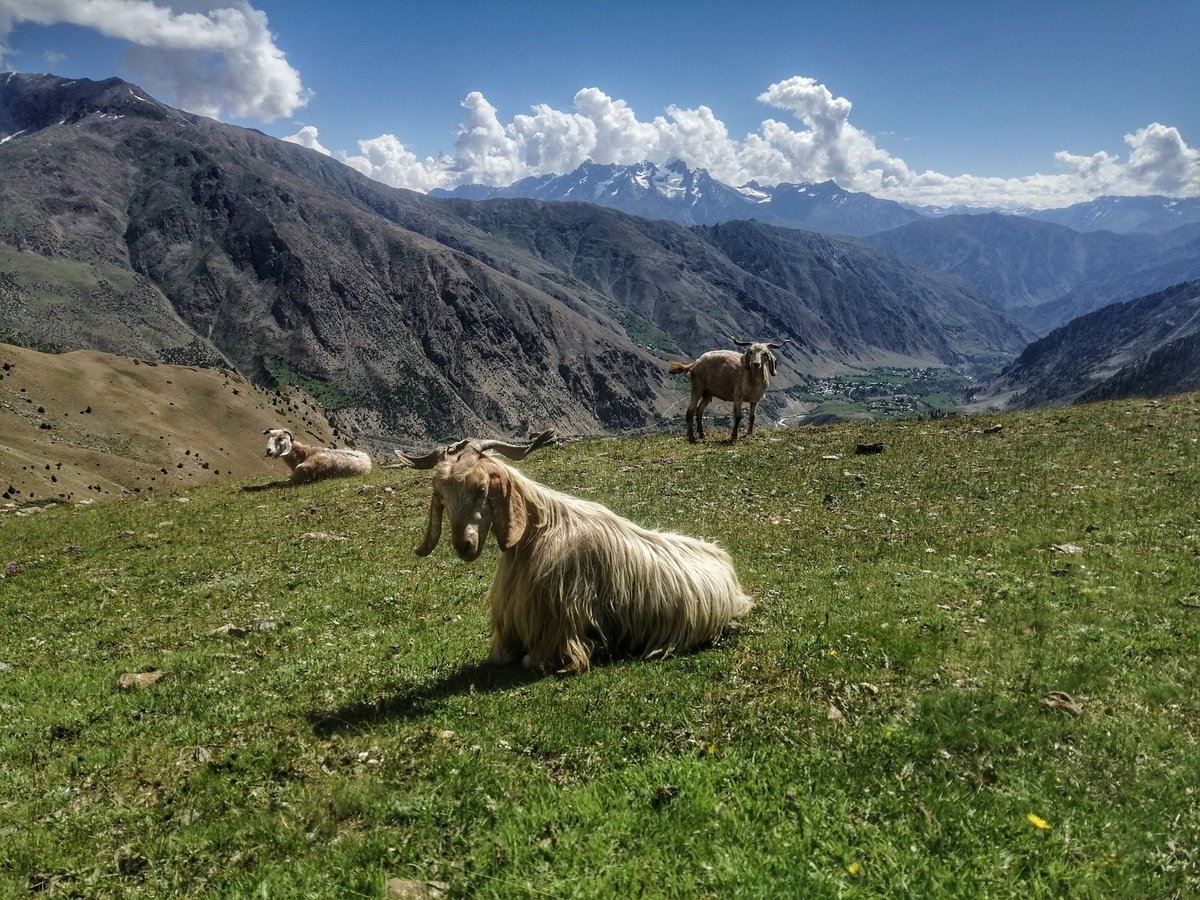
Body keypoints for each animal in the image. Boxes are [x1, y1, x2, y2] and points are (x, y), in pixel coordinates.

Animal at [398, 431, 752, 673]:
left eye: (481, 488)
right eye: (441, 496)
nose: (465, 546)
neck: (538, 531)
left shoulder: (557, 636)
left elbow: (530, 660)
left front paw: (598, 648)